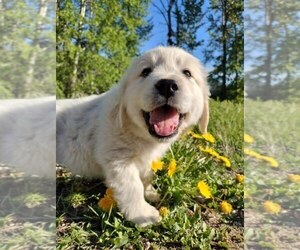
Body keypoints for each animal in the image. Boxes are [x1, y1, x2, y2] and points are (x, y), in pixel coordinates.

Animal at [56, 47, 211, 227]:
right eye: (146, 71)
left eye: (187, 73)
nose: (167, 85)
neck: (141, 135)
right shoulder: (118, 159)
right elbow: (132, 186)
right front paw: (142, 214)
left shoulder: (147, 160)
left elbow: (146, 176)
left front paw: (151, 193)